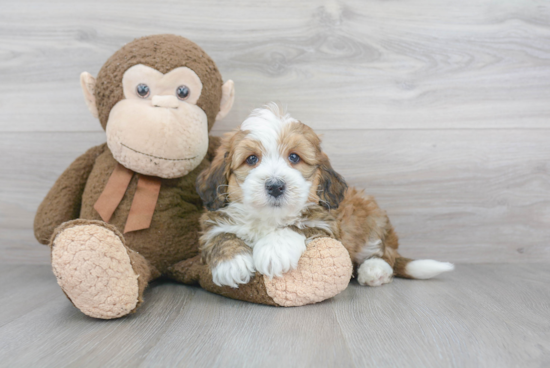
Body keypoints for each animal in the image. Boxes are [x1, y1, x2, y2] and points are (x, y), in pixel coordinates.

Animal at [196, 103, 454, 288]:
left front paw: (274, 250)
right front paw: (231, 263)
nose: (275, 186)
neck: (270, 219)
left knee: (385, 253)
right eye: (251, 159)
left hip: (371, 216)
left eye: (294, 157)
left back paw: (374, 270)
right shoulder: (213, 221)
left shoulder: (328, 226)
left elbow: (299, 226)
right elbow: (220, 234)